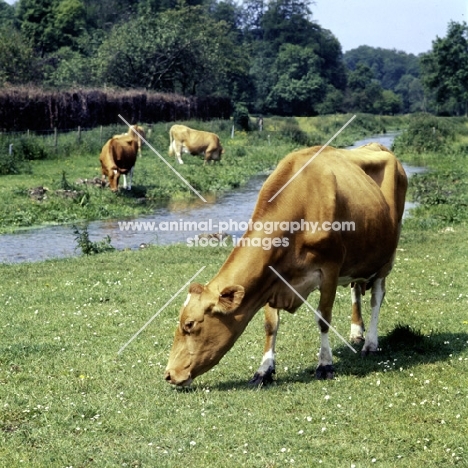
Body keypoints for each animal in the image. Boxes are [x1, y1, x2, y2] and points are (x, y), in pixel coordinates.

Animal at [166, 143, 408, 388]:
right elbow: (270, 325)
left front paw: (325, 365)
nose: (169, 374)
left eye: (189, 324)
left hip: (386, 257)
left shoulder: (330, 269)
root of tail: (377, 146)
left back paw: (370, 344)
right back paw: (357, 332)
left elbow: (323, 319)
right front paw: (264, 370)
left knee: (377, 297)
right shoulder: (271, 277)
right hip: (360, 259)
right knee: (356, 289)